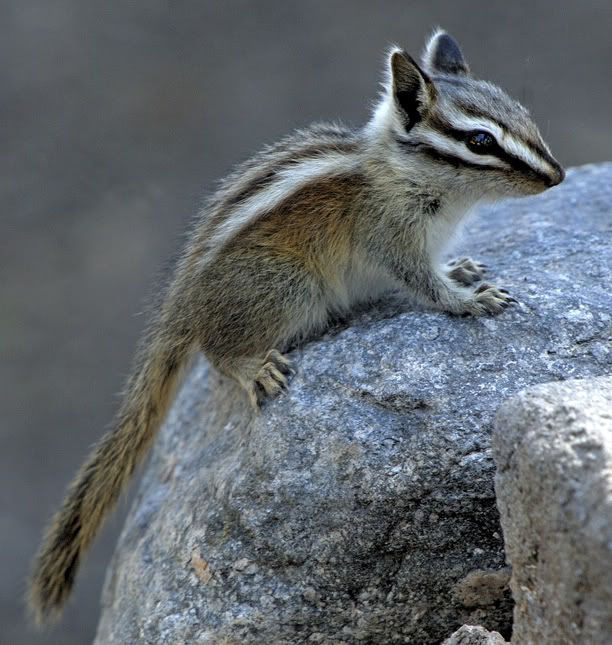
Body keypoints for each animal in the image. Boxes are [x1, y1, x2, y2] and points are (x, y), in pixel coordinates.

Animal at [28, 29, 564, 624]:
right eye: (480, 140)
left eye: (522, 113)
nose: (557, 175)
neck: (402, 174)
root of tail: (180, 305)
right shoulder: (391, 238)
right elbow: (424, 285)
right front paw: (469, 300)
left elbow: (440, 269)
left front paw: (463, 269)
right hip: (291, 287)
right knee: (217, 352)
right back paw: (251, 369)